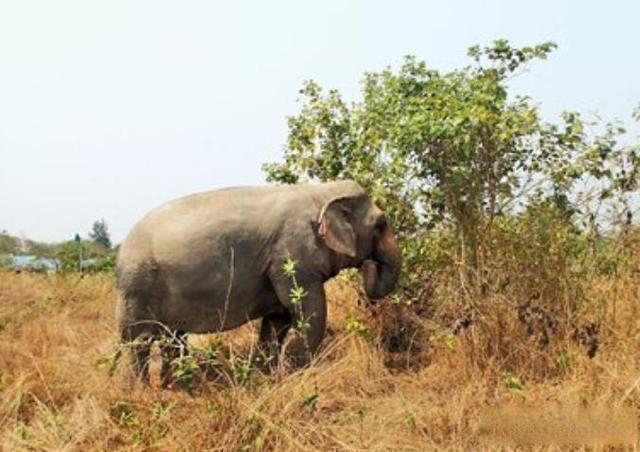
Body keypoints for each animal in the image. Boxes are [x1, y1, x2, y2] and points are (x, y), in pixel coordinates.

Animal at [116, 178, 400, 384]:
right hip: (137, 286)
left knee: (172, 339)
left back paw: (174, 387)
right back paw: (140, 392)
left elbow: (277, 321)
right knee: (138, 342)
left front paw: (267, 379)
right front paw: (298, 374)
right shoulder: (292, 256)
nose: (370, 265)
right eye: (380, 225)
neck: (320, 192)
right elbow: (310, 311)